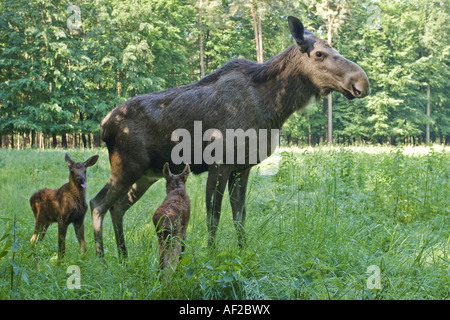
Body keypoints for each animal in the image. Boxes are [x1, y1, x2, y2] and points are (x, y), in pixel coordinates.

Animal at [90, 16, 370, 258]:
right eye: (319, 53)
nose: (361, 82)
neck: (273, 109)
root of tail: (103, 127)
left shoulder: (242, 167)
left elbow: (239, 216)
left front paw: (242, 251)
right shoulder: (219, 164)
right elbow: (213, 216)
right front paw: (211, 255)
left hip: (146, 174)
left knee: (117, 207)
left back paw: (123, 256)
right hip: (126, 168)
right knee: (97, 203)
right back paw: (100, 258)